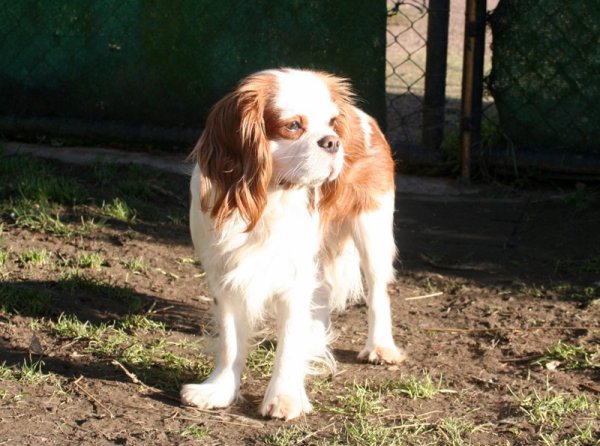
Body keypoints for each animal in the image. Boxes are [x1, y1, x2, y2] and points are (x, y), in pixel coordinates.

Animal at [180, 68, 406, 420]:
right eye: (293, 126)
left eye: (331, 122)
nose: (333, 141)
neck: (268, 198)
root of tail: (362, 114)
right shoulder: (223, 276)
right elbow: (231, 342)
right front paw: (218, 391)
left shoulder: (294, 277)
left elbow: (289, 341)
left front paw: (285, 397)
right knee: (323, 293)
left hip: (373, 228)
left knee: (377, 291)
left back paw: (380, 347)